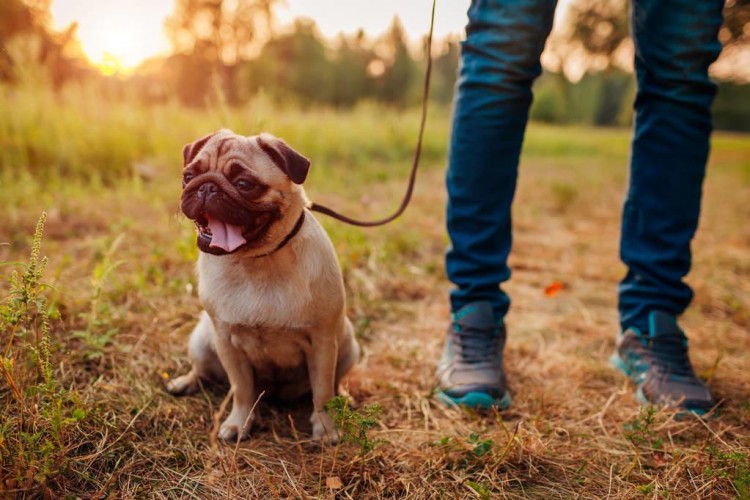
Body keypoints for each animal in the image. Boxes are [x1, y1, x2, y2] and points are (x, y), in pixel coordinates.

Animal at [167, 128, 362, 442]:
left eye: (244, 184)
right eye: (188, 176)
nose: (206, 187)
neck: (255, 261)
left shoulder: (322, 342)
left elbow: (321, 391)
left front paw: (325, 428)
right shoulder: (227, 343)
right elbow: (241, 389)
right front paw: (239, 423)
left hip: (347, 346)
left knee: (335, 381)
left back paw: (343, 398)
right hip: (201, 342)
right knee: (202, 371)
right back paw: (185, 382)